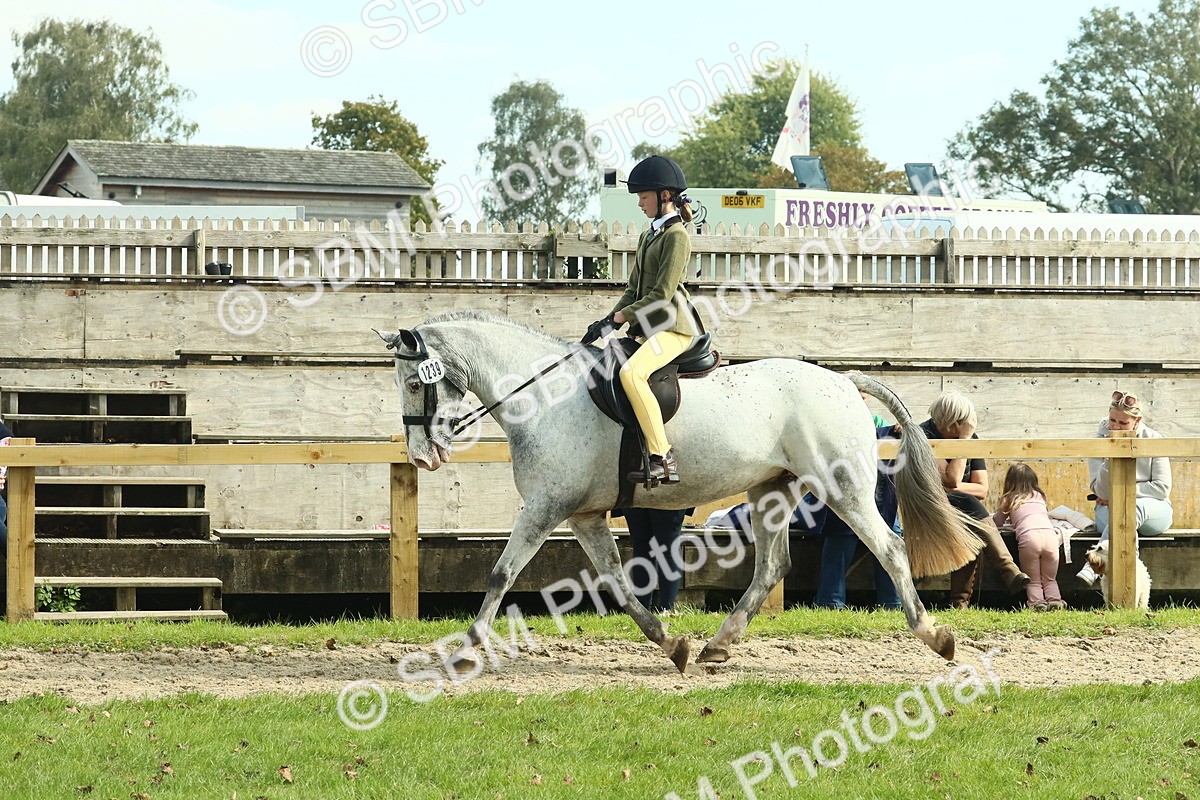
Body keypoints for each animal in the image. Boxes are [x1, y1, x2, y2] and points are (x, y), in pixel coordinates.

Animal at [379, 310, 983, 674]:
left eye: (412, 383)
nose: (421, 456)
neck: (544, 395)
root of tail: (840, 379)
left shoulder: (545, 508)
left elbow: (502, 573)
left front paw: (467, 650)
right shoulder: (584, 516)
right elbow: (618, 584)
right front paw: (672, 644)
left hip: (844, 488)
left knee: (891, 549)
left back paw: (934, 636)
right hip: (771, 492)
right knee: (772, 567)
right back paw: (718, 645)